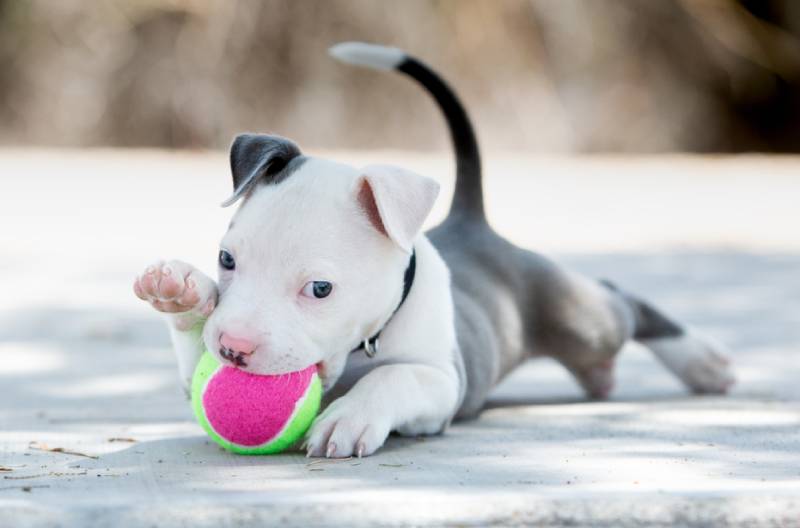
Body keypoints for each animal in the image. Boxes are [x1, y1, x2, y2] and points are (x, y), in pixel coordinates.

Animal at [134, 43, 736, 458]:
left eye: (320, 289)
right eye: (226, 260)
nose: (233, 349)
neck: (364, 345)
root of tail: (472, 221)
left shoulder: (443, 382)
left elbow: (393, 377)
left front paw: (349, 417)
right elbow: (192, 349)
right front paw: (180, 291)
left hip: (579, 317)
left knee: (618, 301)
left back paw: (704, 362)